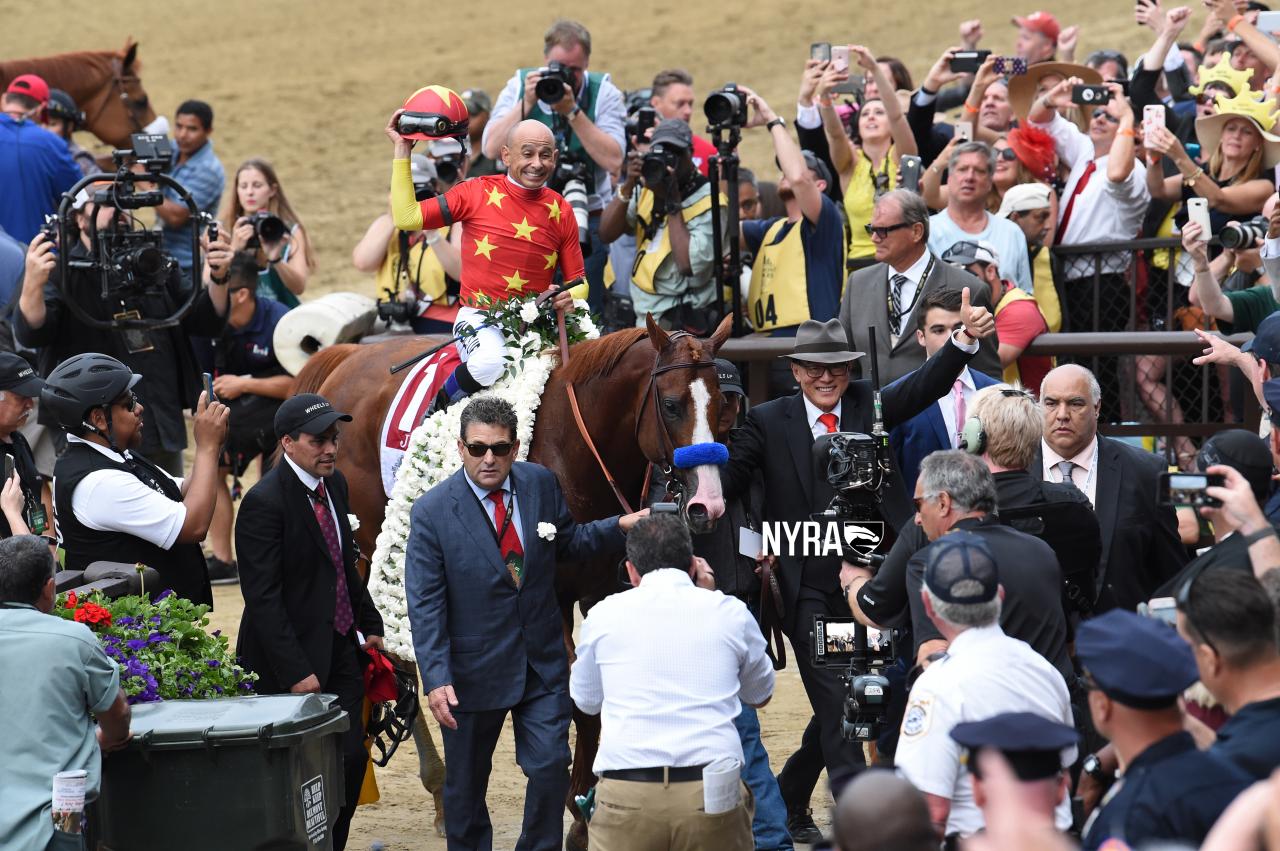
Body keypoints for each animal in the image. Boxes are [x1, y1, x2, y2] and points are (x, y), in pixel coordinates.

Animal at [293, 317, 732, 844]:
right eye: (671, 405)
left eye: (722, 405)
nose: (708, 504)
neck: (570, 447)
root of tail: (348, 356)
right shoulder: (551, 598)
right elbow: (575, 698)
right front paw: (575, 808)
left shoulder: (599, 589)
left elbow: (593, 695)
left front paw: (586, 804)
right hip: (363, 549)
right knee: (391, 656)